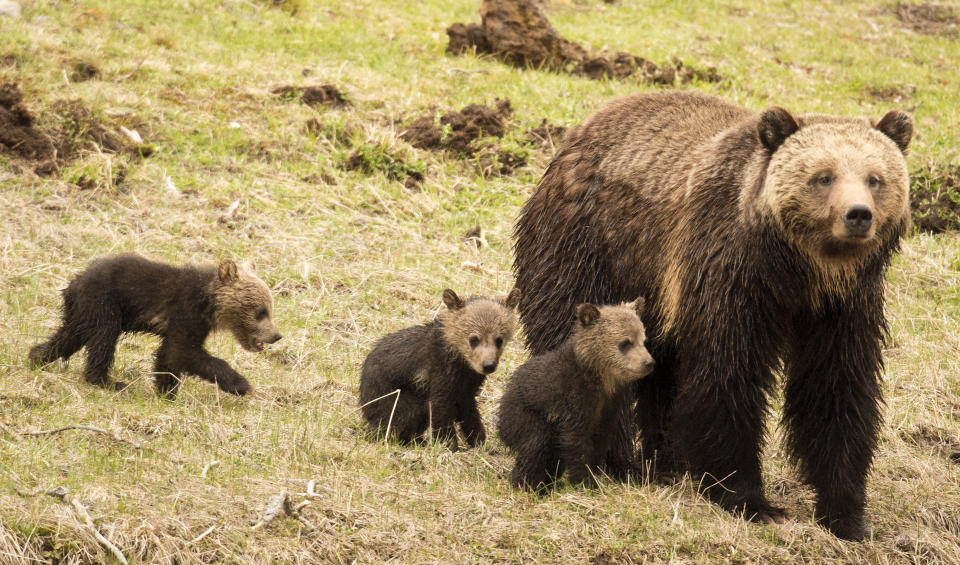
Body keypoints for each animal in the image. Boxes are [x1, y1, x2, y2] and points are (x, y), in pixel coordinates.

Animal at [512, 90, 912, 540]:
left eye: (875, 178)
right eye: (823, 176)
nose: (858, 214)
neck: (798, 273)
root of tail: (574, 137)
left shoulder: (844, 307)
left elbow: (835, 388)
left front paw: (846, 513)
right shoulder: (728, 277)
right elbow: (727, 377)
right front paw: (750, 499)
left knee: (662, 372)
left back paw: (666, 462)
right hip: (592, 248)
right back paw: (616, 461)